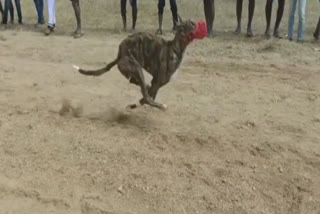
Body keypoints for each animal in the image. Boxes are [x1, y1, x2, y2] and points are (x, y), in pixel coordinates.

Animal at [73, 19, 202, 111]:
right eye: (191, 24)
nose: (198, 23)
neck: (175, 48)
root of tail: (120, 55)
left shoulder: (156, 82)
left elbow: (147, 95)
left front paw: (135, 104)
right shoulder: (158, 81)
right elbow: (145, 99)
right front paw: (138, 104)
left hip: (134, 71)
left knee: (135, 82)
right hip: (137, 69)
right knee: (145, 95)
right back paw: (160, 106)